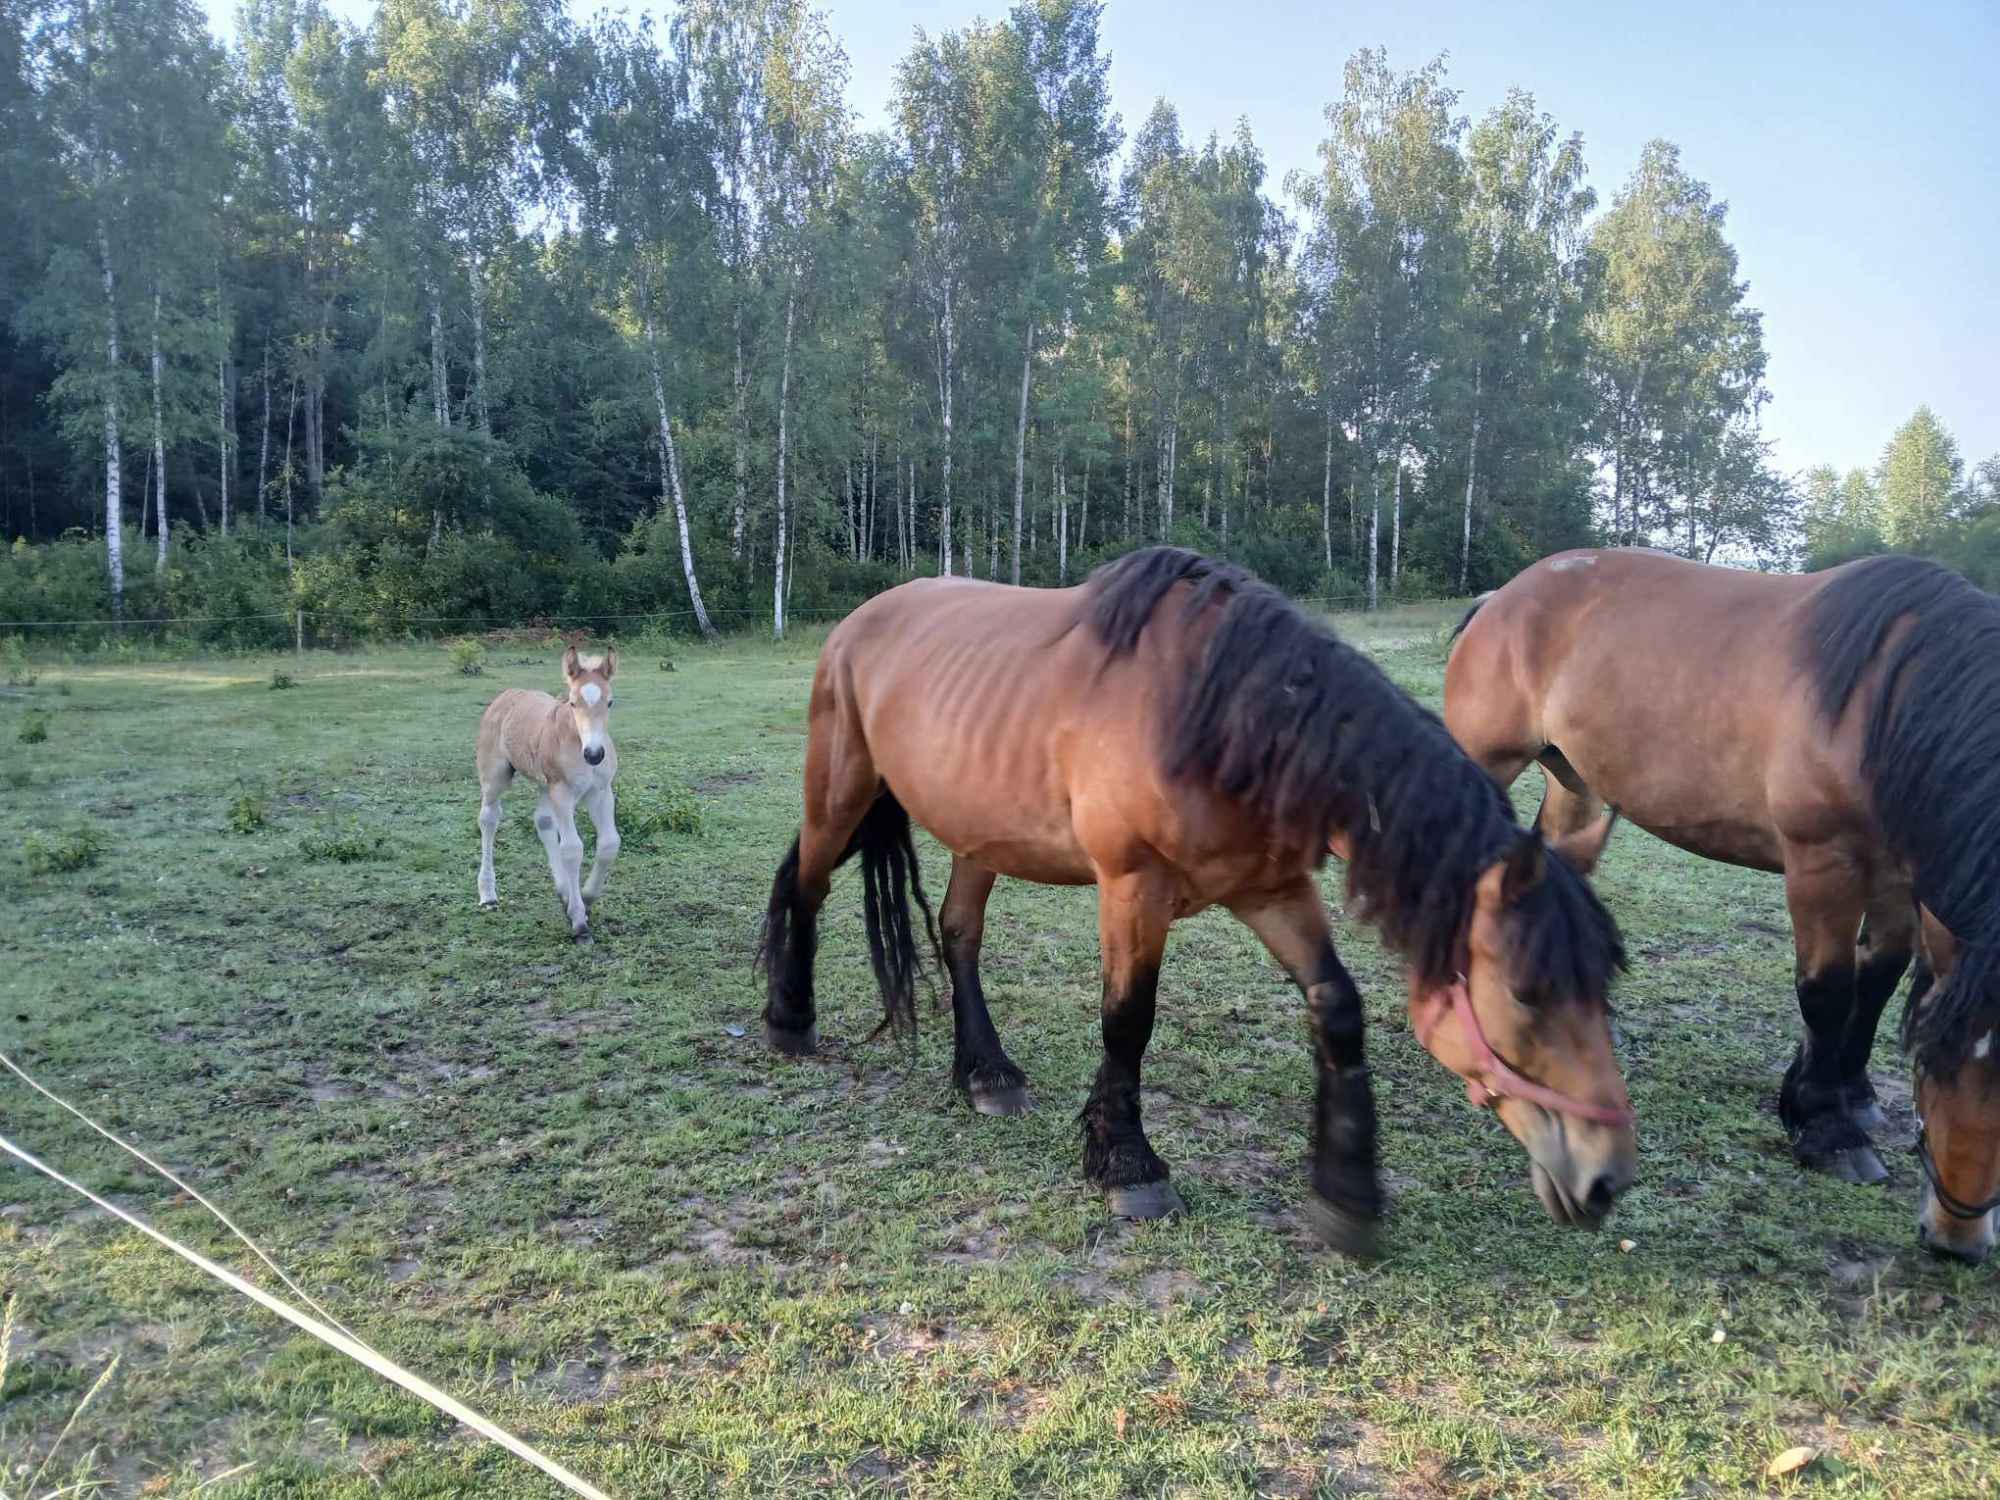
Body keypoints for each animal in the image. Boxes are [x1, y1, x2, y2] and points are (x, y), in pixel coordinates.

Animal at [476, 648, 616, 940]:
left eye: (610, 702)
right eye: (572, 703)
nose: (594, 754)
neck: (576, 743)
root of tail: (506, 695)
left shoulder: (600, 791)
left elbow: (609, 843)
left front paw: (586, 896)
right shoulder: (562, 791)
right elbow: (572, 848)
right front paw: (579, 921)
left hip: (544, 785)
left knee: (542, 821)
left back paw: (564, 892)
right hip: (496, 776)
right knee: (488, 818)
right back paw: (488, 895)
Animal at [756, 548, 1632, 1256]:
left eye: (1602, 991)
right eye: (1526, 993)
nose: (1606, 1180)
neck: (1224, 717)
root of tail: (858, 623)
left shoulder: (1272, 890)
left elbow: (1336, 1006)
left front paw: (1345, 1193)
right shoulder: (1132, 887)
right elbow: (1128, 1022)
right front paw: (1128, 1167)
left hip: (981, 831)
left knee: (958, 931)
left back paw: (987, 1075)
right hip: (842, 792)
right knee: (807, 884)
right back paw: (791, 1021)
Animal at [1448, 552, 2000, 1272]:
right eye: (1933, 1064)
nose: (1960, 1239)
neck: (1886, 701)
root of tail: (1502, 597)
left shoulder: (1895, 873)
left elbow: (1878, 976)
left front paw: (1853, 1095)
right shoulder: (1822, 861)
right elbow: (1827, 990)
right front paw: (1826, 1128)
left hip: (1575, 785)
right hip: (1486, 758)